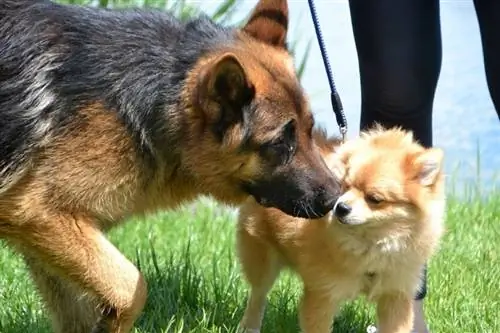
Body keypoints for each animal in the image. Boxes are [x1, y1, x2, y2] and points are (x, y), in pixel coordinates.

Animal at [0, 0, 340, 332]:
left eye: (310, 129)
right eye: (280, 143)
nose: (336, 198)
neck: (161, 95)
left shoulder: (51, 233)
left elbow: (79, 312)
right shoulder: (37, 212)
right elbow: (132, 287)